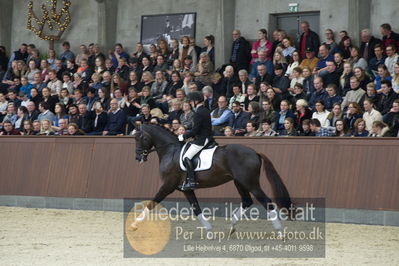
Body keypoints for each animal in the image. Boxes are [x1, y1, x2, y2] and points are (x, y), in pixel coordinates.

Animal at [133, 124, 292, 235]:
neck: (170, 151)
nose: (138, 157)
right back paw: (231, 227)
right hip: (239, 182)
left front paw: (134, 224)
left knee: (267, 202)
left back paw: (279, 232)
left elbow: (151, 203)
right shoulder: (186, 189)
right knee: (247, 201)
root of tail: (255, 153)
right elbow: (196, 209)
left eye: (140, 138)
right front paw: (209, 230)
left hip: (250, 183)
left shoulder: (168, 186)